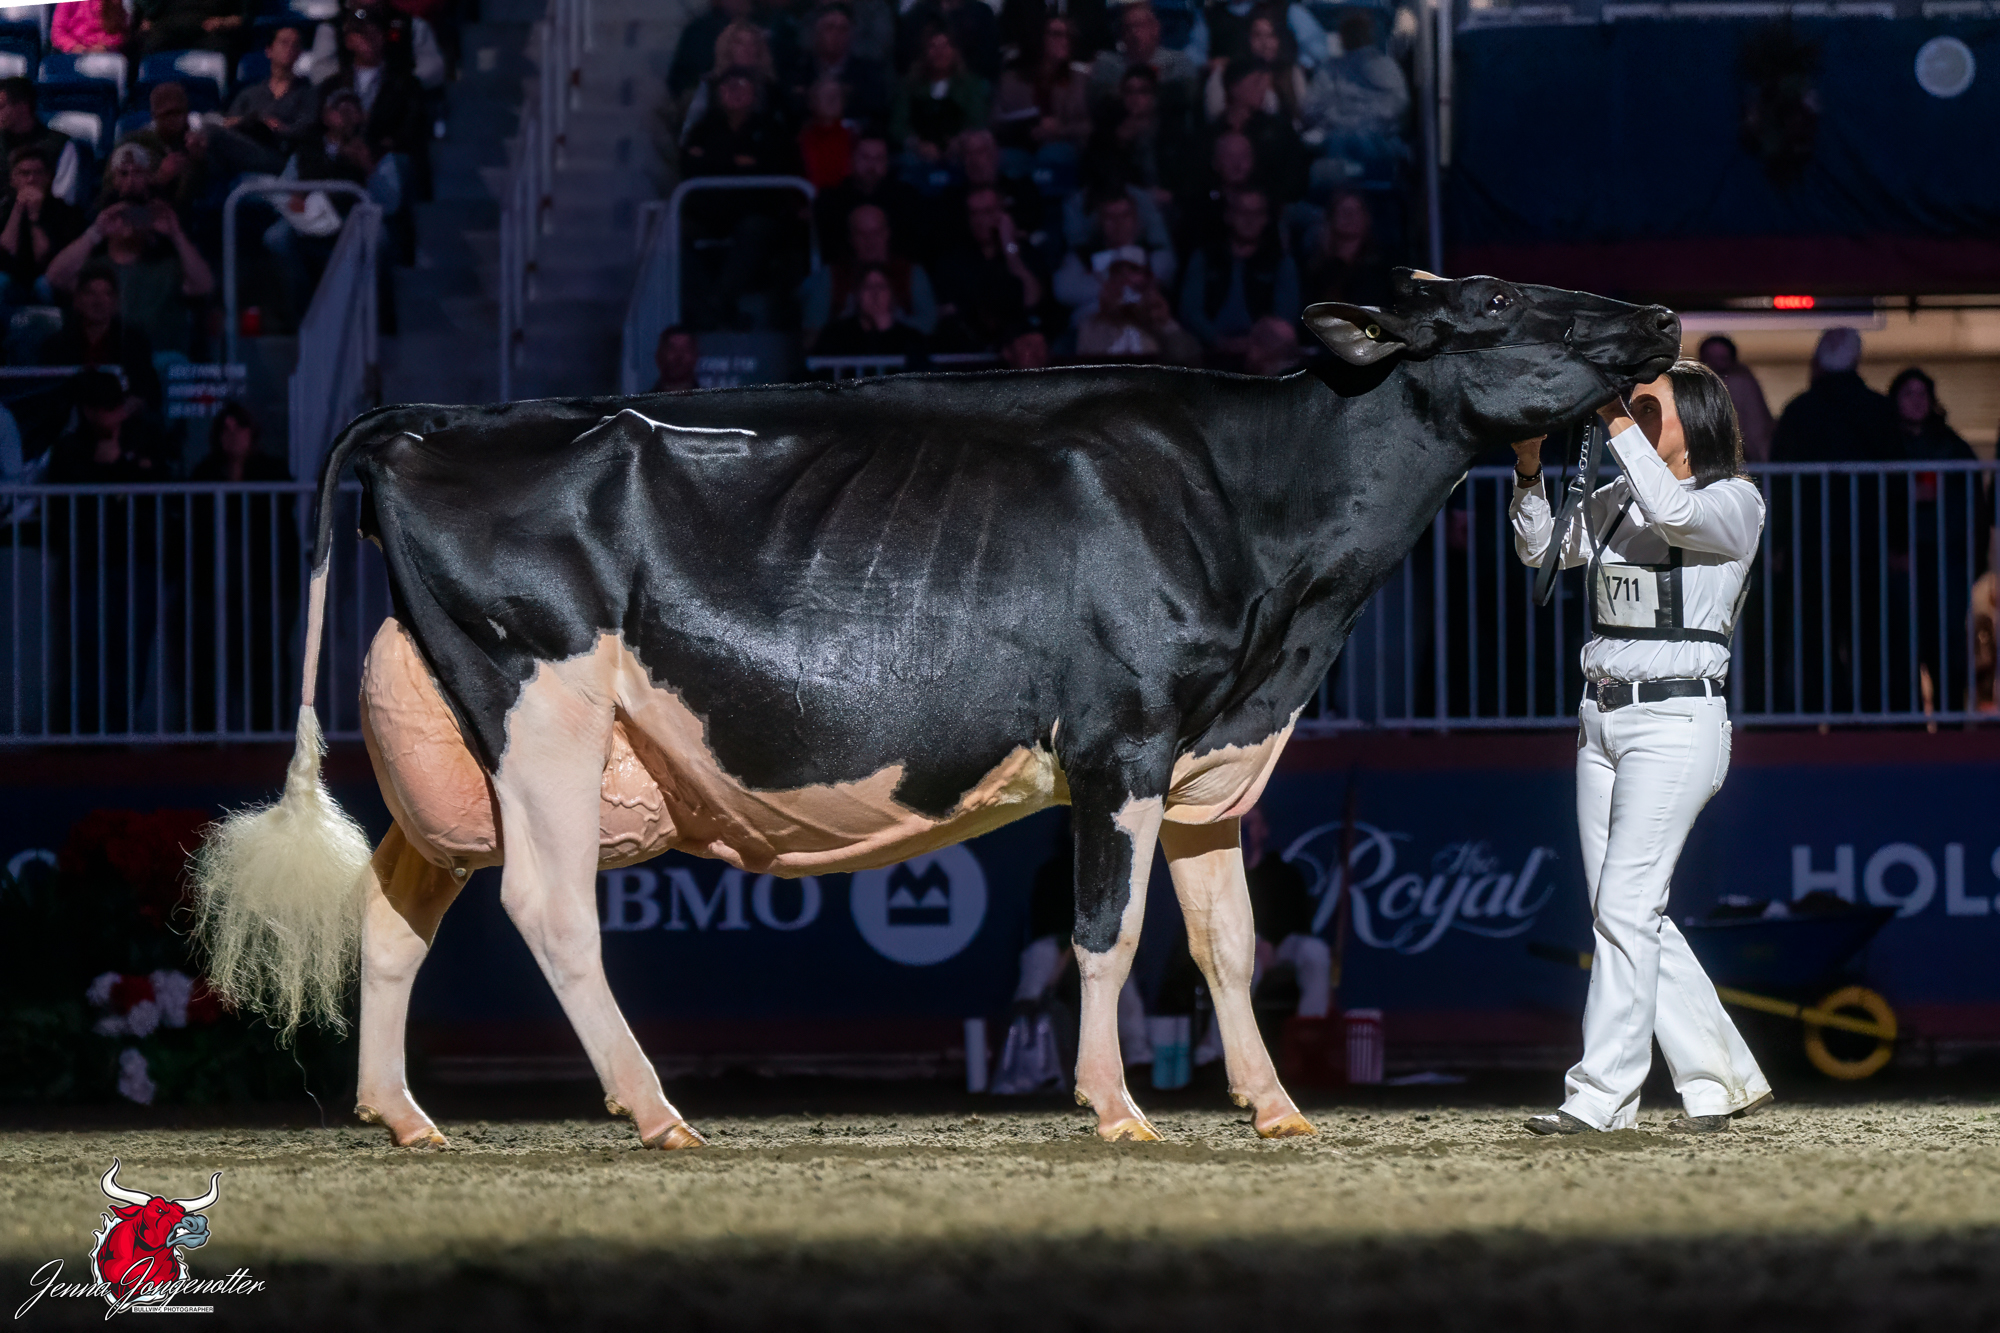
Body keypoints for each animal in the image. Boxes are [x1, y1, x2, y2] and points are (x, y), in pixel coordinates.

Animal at [192, 270, 1680, 1150]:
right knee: (547, 907)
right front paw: (1116, 1108)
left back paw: (402, 1114)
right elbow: (1105, 935)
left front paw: (1272, 1108)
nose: (1661, 323)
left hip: (452, 748)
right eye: (1500, 307)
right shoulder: (1121, 741)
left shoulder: (1213, 750)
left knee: (398, 904)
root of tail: (438, 421)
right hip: (539, 706)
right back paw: (655, 1108)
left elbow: (1227, 946)